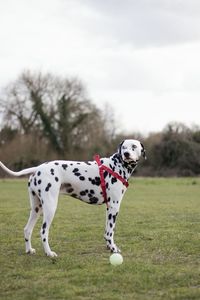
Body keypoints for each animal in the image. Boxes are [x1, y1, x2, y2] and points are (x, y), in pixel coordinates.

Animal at [0, 139, 147, 256]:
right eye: (124, 147)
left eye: (133, 146)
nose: (126, 154)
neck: (116, 166)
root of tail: (38, 168)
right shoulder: (114, 207)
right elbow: (110, 232)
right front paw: (113, 249)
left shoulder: (109, 208)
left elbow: (106, 231)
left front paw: (108, 247)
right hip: (50, 208)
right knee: (43, 232)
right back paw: (49, 253)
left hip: (36, 209)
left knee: (27, 230)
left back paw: (29, 250)